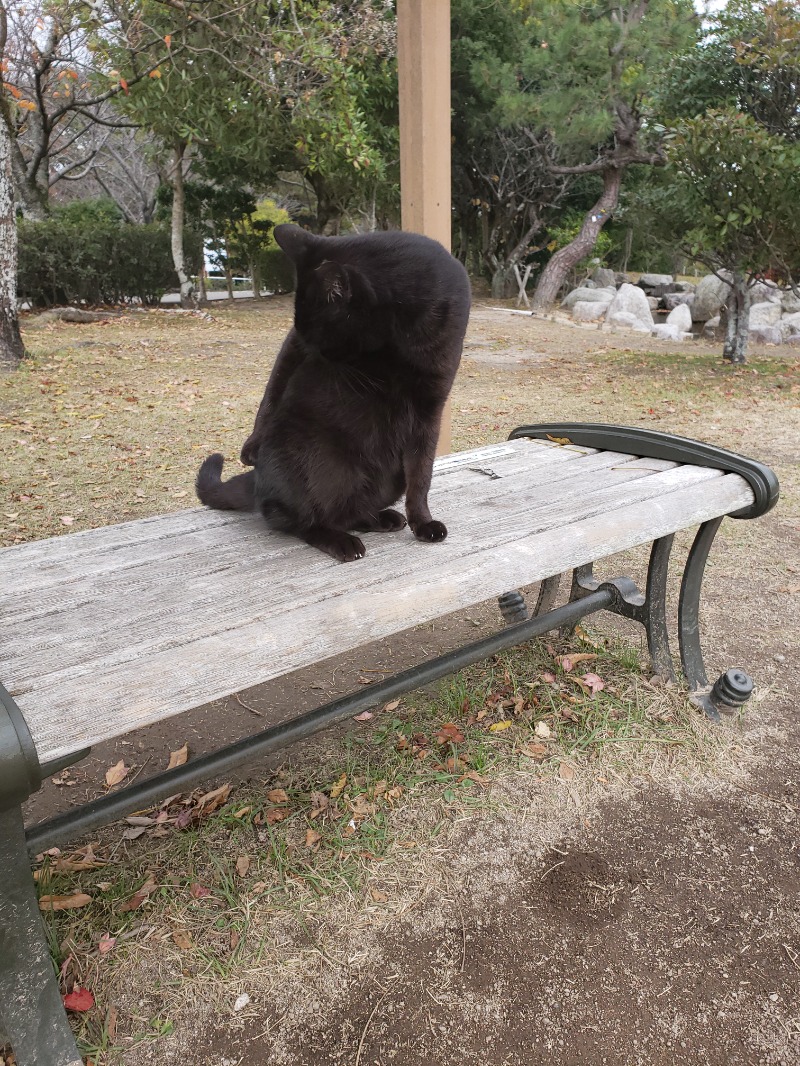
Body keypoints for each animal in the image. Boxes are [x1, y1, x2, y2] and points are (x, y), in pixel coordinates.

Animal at [197, 221, 473, 562]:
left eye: (324, 338)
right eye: (311, 339)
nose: (319, 358)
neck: (396, 338)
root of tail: (259, 482)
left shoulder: (429, 407)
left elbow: (422, 475)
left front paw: (422, 522)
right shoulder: (293, 344)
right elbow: (275, 383)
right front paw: (252, 443)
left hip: (388, 480)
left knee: (351, 511)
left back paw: (382, 518)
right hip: (311, 467)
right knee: (300, 518)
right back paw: (341, 541)